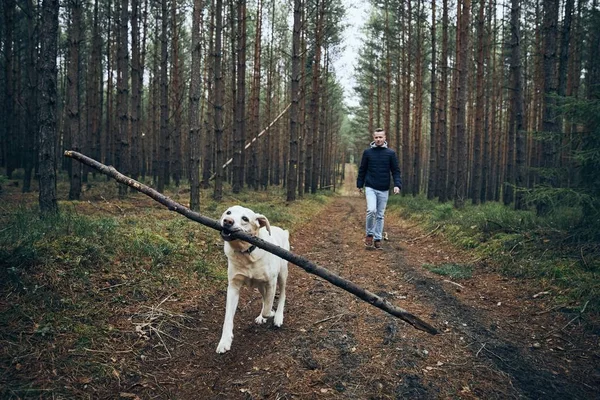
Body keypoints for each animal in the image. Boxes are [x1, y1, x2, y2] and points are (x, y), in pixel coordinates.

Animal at [217, 206, 290, 354]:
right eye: (228, 213)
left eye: (245, 219)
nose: (227, 221)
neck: (246, 253)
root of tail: (282, 230)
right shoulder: (233, 287)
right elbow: (228, 316)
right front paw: (225, 340)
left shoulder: (271, 282)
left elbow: (268, 309)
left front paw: (271, 313)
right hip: (260, 285)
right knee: (264, 297)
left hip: (282, 274)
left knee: (282, 294)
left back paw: (278, 316)